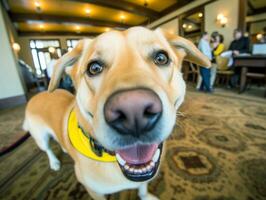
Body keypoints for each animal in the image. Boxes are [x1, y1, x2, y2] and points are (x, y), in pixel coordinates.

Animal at [23, 27, 210, 200]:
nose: (134, 111)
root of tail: (38, 96)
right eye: (94, 68)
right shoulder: (94, 191)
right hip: (41, 137)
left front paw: (145, 196)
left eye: (161, 58)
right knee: (47, 149)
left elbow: (142, 187)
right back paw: (54, 162)